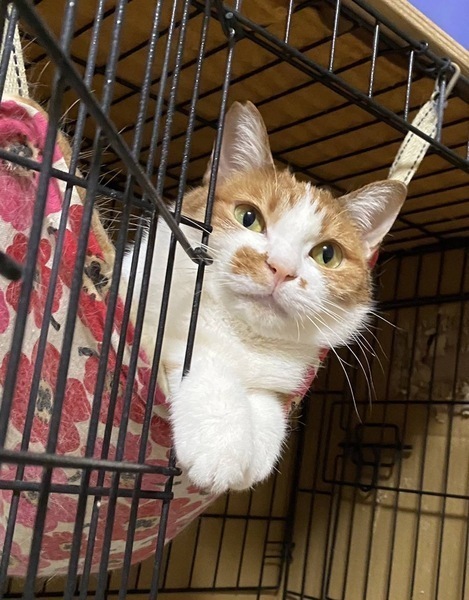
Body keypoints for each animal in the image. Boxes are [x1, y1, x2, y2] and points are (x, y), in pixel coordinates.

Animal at [121, 101, 406, 494]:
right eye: (249, 217)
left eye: (327, 254)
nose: (282, 268)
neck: (245, 337)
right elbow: (200, 353)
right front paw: (220, 441)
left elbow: (268, 398)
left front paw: (259, 442)